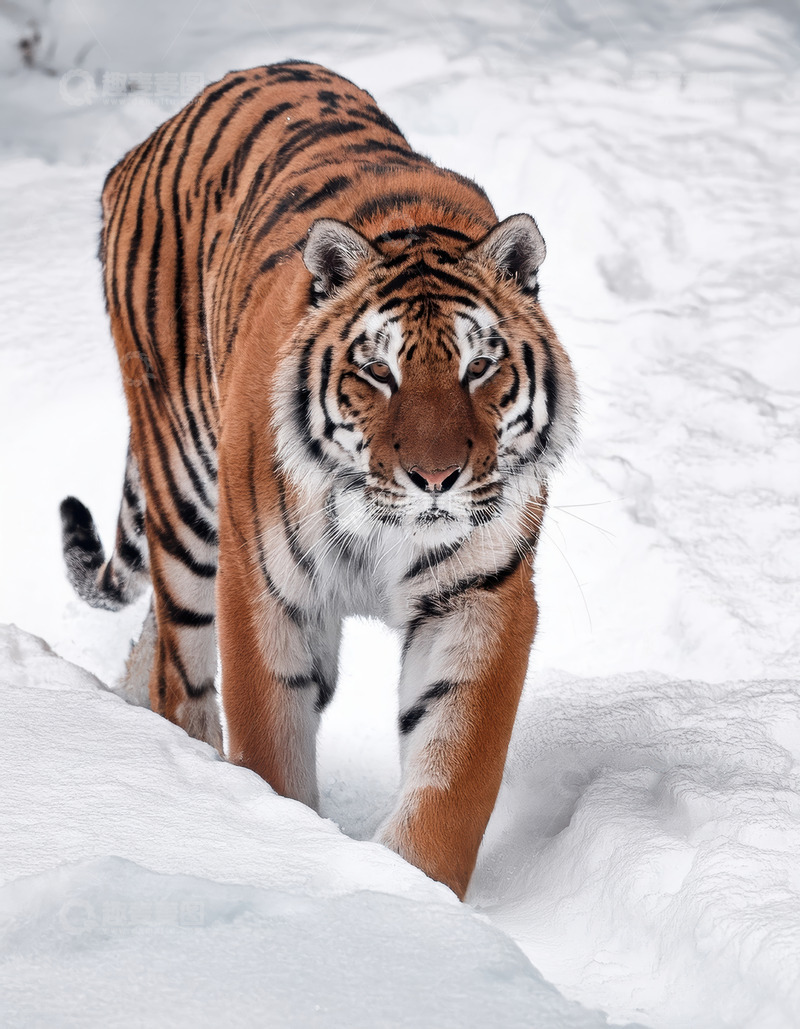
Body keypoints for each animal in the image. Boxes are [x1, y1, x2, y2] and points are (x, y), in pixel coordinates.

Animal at [59, 61, 578, 900]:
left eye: (479, 366)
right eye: (378, 371)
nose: (436, 476)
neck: (385, 528)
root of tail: (160, 130)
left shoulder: (479, 596)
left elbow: (451, 783)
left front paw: (411, 895)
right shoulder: (266, 591)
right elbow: (271, 746)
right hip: (186, 502)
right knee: (179, 674)